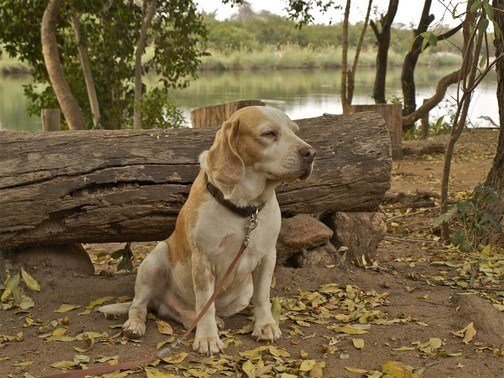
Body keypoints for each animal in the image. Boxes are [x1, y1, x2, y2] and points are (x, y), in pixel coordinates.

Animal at [98, 106, 316, 354]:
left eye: (296, 131)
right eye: (269, 133)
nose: (311, 153)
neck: (244, 207)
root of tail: (159, 299)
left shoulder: (267, 256)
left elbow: (262, 297)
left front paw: (265, 326)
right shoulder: (203, 261)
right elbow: (205, 303)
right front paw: (208, 338)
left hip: (242, 292)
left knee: (180, 313)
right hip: (155, 260)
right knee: (139, 306)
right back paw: (134, 325)